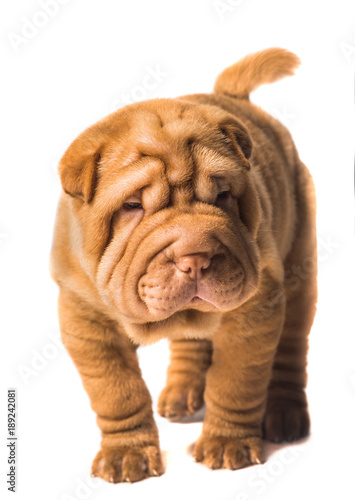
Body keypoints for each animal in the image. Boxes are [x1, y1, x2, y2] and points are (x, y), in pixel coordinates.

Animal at [49, 48, 318, 482]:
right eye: (132, 206)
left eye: (223, 195)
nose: (195, 257)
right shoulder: (84, 318)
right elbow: (116, 390)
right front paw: (125, 455)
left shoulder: (255, 311)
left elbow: (236, 381)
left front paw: (227, 444)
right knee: (191, 339)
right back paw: (182, 394)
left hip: (300, 263)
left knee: (292, 347)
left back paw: (285, 417)